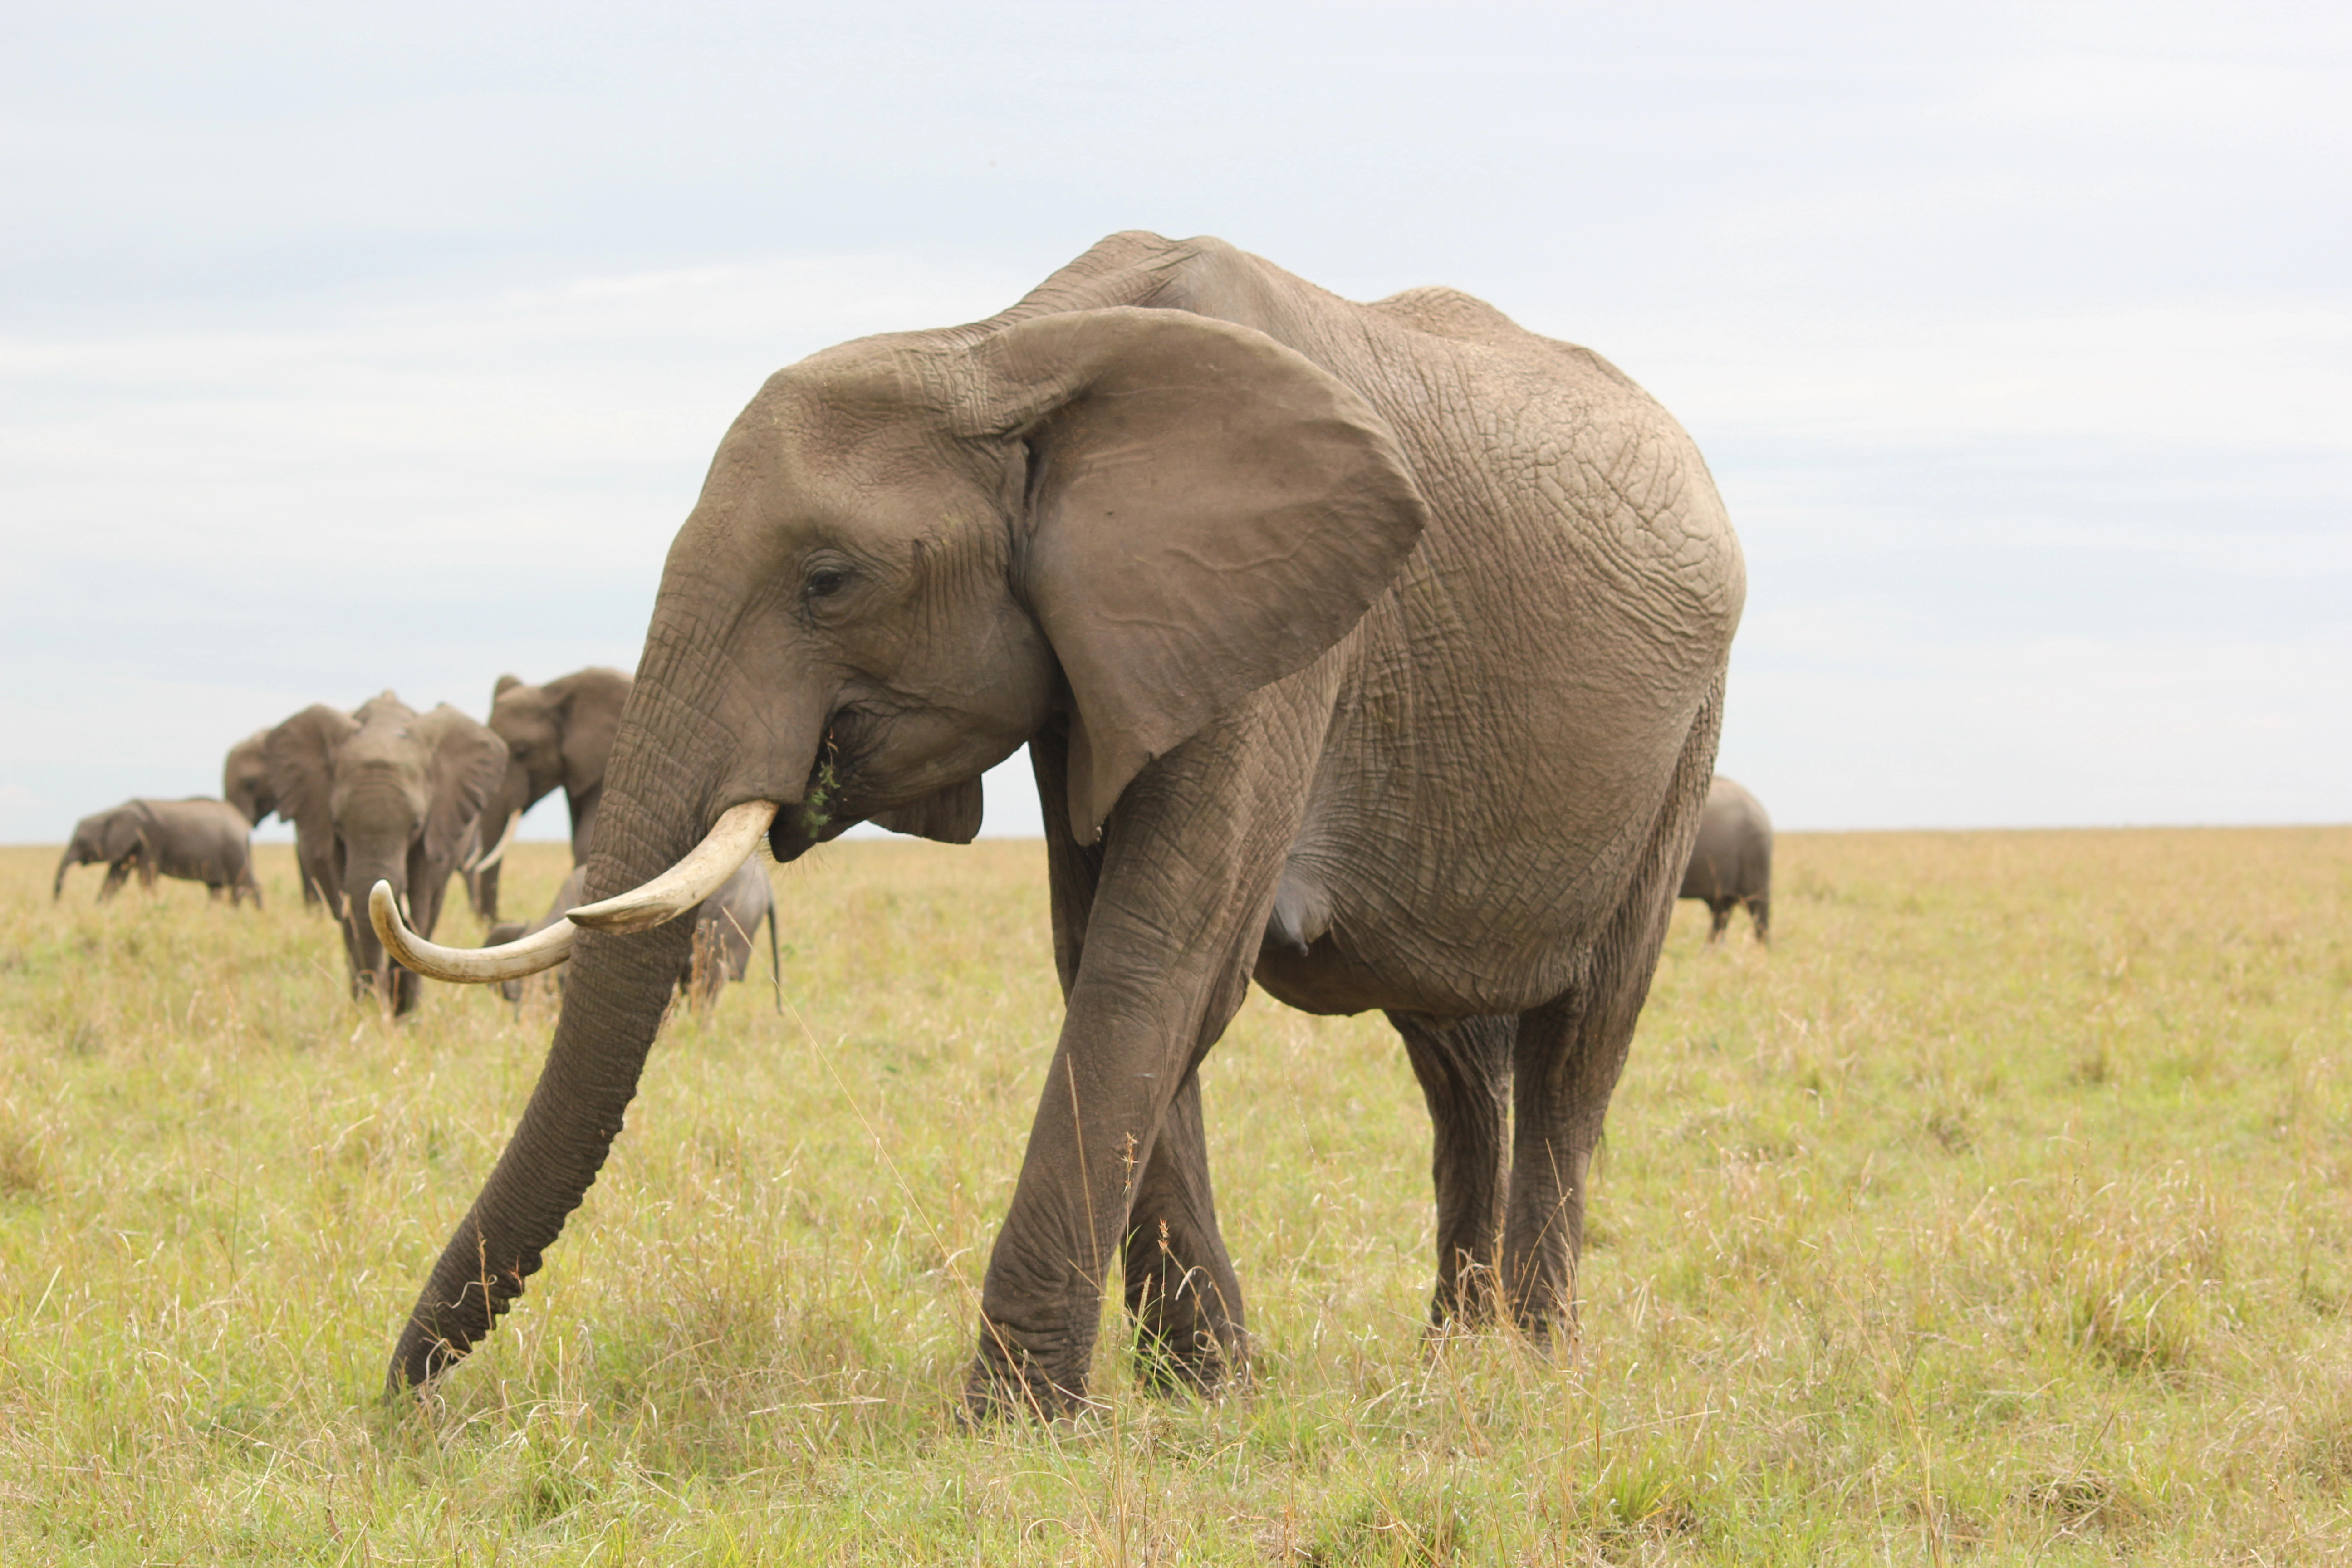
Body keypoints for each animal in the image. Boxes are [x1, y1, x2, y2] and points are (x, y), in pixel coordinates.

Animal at [54, 798, 260, 905]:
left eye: (81, 842)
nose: (56, 907)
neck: (116, 811)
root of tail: (244, 826)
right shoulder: (127, 846)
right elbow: (114, 880)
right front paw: (100, 910)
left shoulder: (150, 840)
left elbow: (147, 877)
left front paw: (152, 906)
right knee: (217, 889)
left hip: (234, 849)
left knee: (246, 884)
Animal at [265, 692, 507, 1013]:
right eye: (337, 824)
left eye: (416, 824)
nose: (377, 1007)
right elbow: (353, 914)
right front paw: (366, 1013)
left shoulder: (435, 828)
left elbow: (416, 912)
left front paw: (404, 1017)